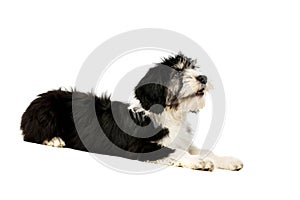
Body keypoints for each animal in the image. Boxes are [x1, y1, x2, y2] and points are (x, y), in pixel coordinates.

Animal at [21, 53, 243, 172]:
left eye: (192, 68)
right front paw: (200, 162)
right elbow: (175, 152)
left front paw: (227, 160)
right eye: (175, 74)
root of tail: (36, 100)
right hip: (47, 114)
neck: (170, 115)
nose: (203, 78)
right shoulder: (141, 147)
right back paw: (54, 140)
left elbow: (203, 149)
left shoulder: (183, 141)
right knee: (31, 134)